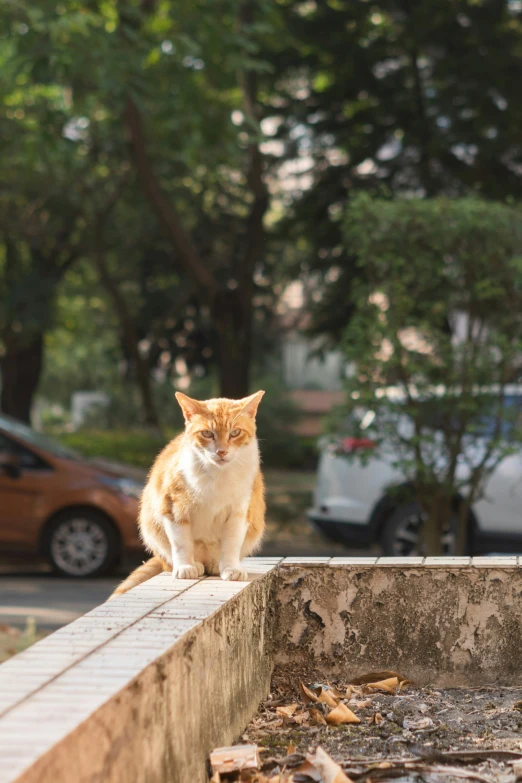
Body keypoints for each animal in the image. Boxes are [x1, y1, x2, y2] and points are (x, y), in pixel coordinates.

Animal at [111, 392, 262, 596]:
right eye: (207, 433)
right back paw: (195, 564)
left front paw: (231, 568)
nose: (221, 452)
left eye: (235, 433)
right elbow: (181, 542)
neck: (218, 476)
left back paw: (216, 564)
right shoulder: (173, 508)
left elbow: (232, 543)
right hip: (151, 527)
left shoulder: (239, 512)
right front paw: (185, 567)